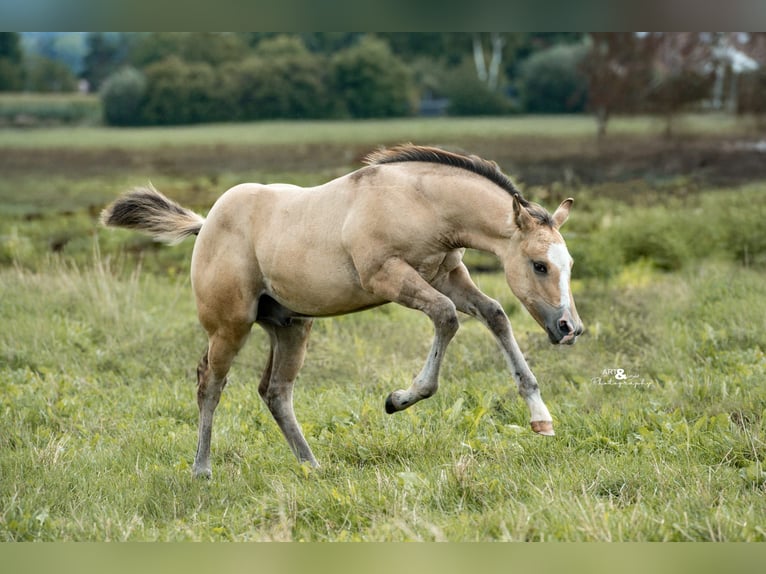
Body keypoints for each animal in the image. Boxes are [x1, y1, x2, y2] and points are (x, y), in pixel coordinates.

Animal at [101, 144, 583, 478]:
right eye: (539, 265)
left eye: (569, 263)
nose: (569, 328)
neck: (419, 201)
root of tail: (206, 224)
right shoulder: (388, 277)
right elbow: (446, 317)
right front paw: (398, 399)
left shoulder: (448, 273)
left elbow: (495, 314)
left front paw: (541, 419)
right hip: (230, 326)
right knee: (210, 385)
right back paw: (202, 469)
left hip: (291, 326)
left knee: (275, 392)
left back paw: (311, 466)